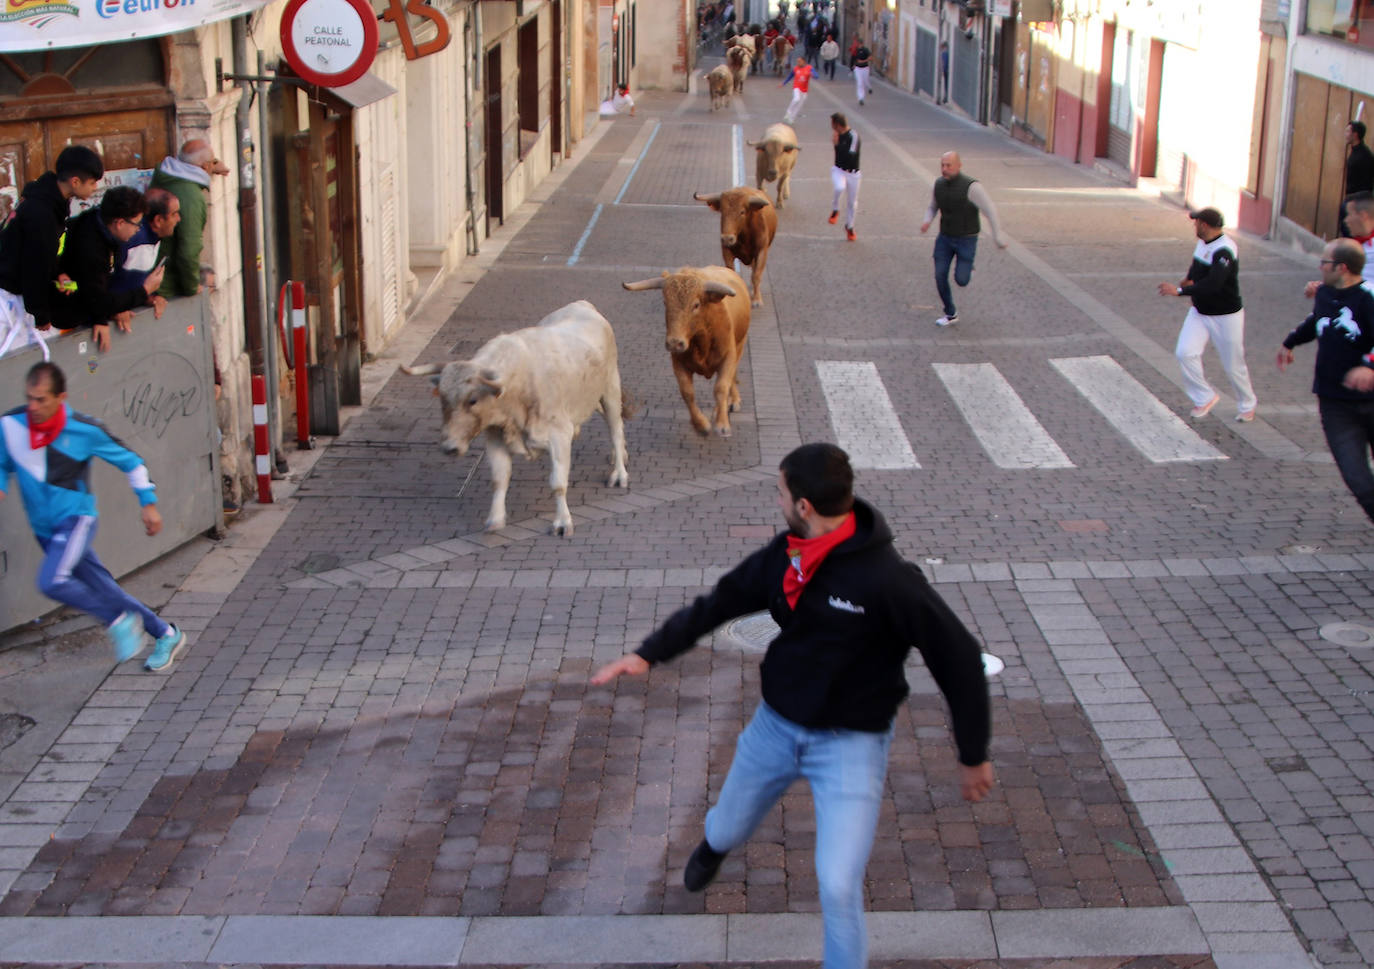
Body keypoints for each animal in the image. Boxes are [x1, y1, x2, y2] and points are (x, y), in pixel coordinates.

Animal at [623, 261, 752, 434]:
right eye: (665, 302)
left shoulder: (728, 357)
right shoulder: (678, 362)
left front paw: (722, 423)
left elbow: (721, 387)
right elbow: (687, 392)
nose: (674, 342)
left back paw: (731, 402)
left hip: (740, 345)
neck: (701, 340)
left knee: (732, 376)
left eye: (696, 305)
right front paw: (701, 424)